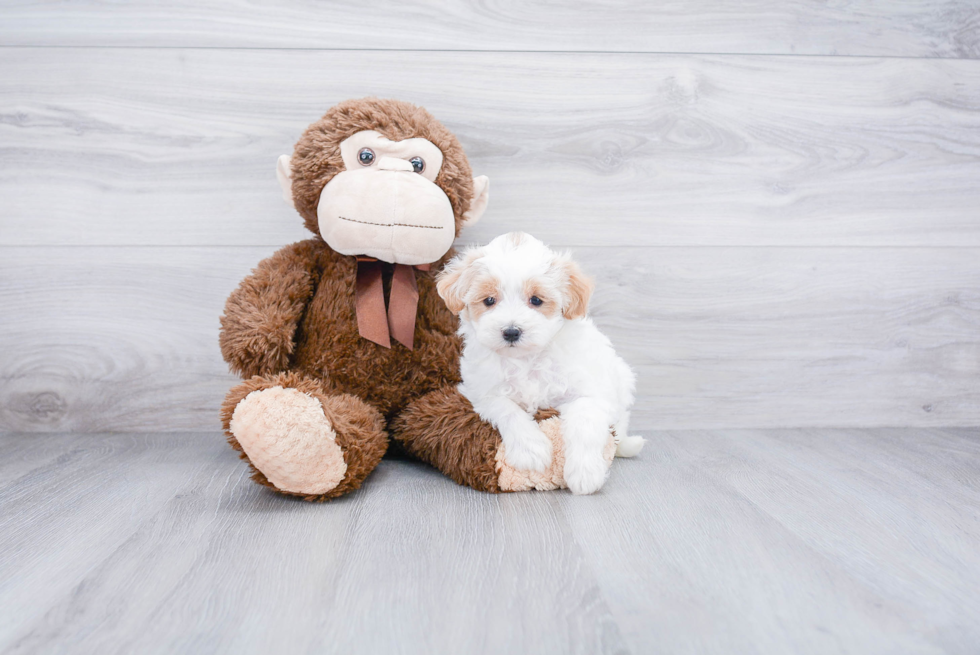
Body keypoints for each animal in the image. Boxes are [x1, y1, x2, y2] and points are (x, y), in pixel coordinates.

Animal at [436, 233, 644, 494]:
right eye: (489, 300)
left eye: (536, 300)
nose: (511, 331)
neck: (526, 359)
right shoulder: (481, 391)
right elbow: (506, 408)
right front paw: (530, 450)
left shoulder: (591, 392)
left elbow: (584, 422)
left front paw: (585, 472)